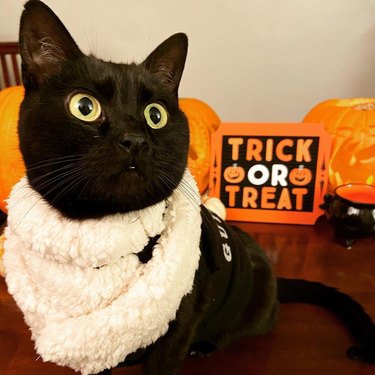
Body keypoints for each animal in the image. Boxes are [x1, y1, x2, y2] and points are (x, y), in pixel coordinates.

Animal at [2, 0, 375, 375]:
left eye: (155, 114)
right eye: (84, 106)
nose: (134, 140)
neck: (100, 233)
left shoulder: (182, 317)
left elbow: (162, 362)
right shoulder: (92, 344)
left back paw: (206, 345)